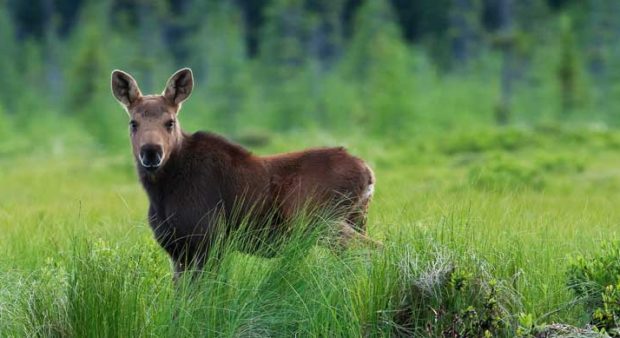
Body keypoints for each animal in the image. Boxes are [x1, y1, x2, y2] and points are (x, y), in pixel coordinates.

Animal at [110, 68, 378, 280]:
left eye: (170, 122)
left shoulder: (210, 239)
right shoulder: (177, 250)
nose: (151, 152)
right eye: (133, 123)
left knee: (372, 249)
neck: (161, 193)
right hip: (355, 218)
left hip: (321, 220)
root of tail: (369, 174)